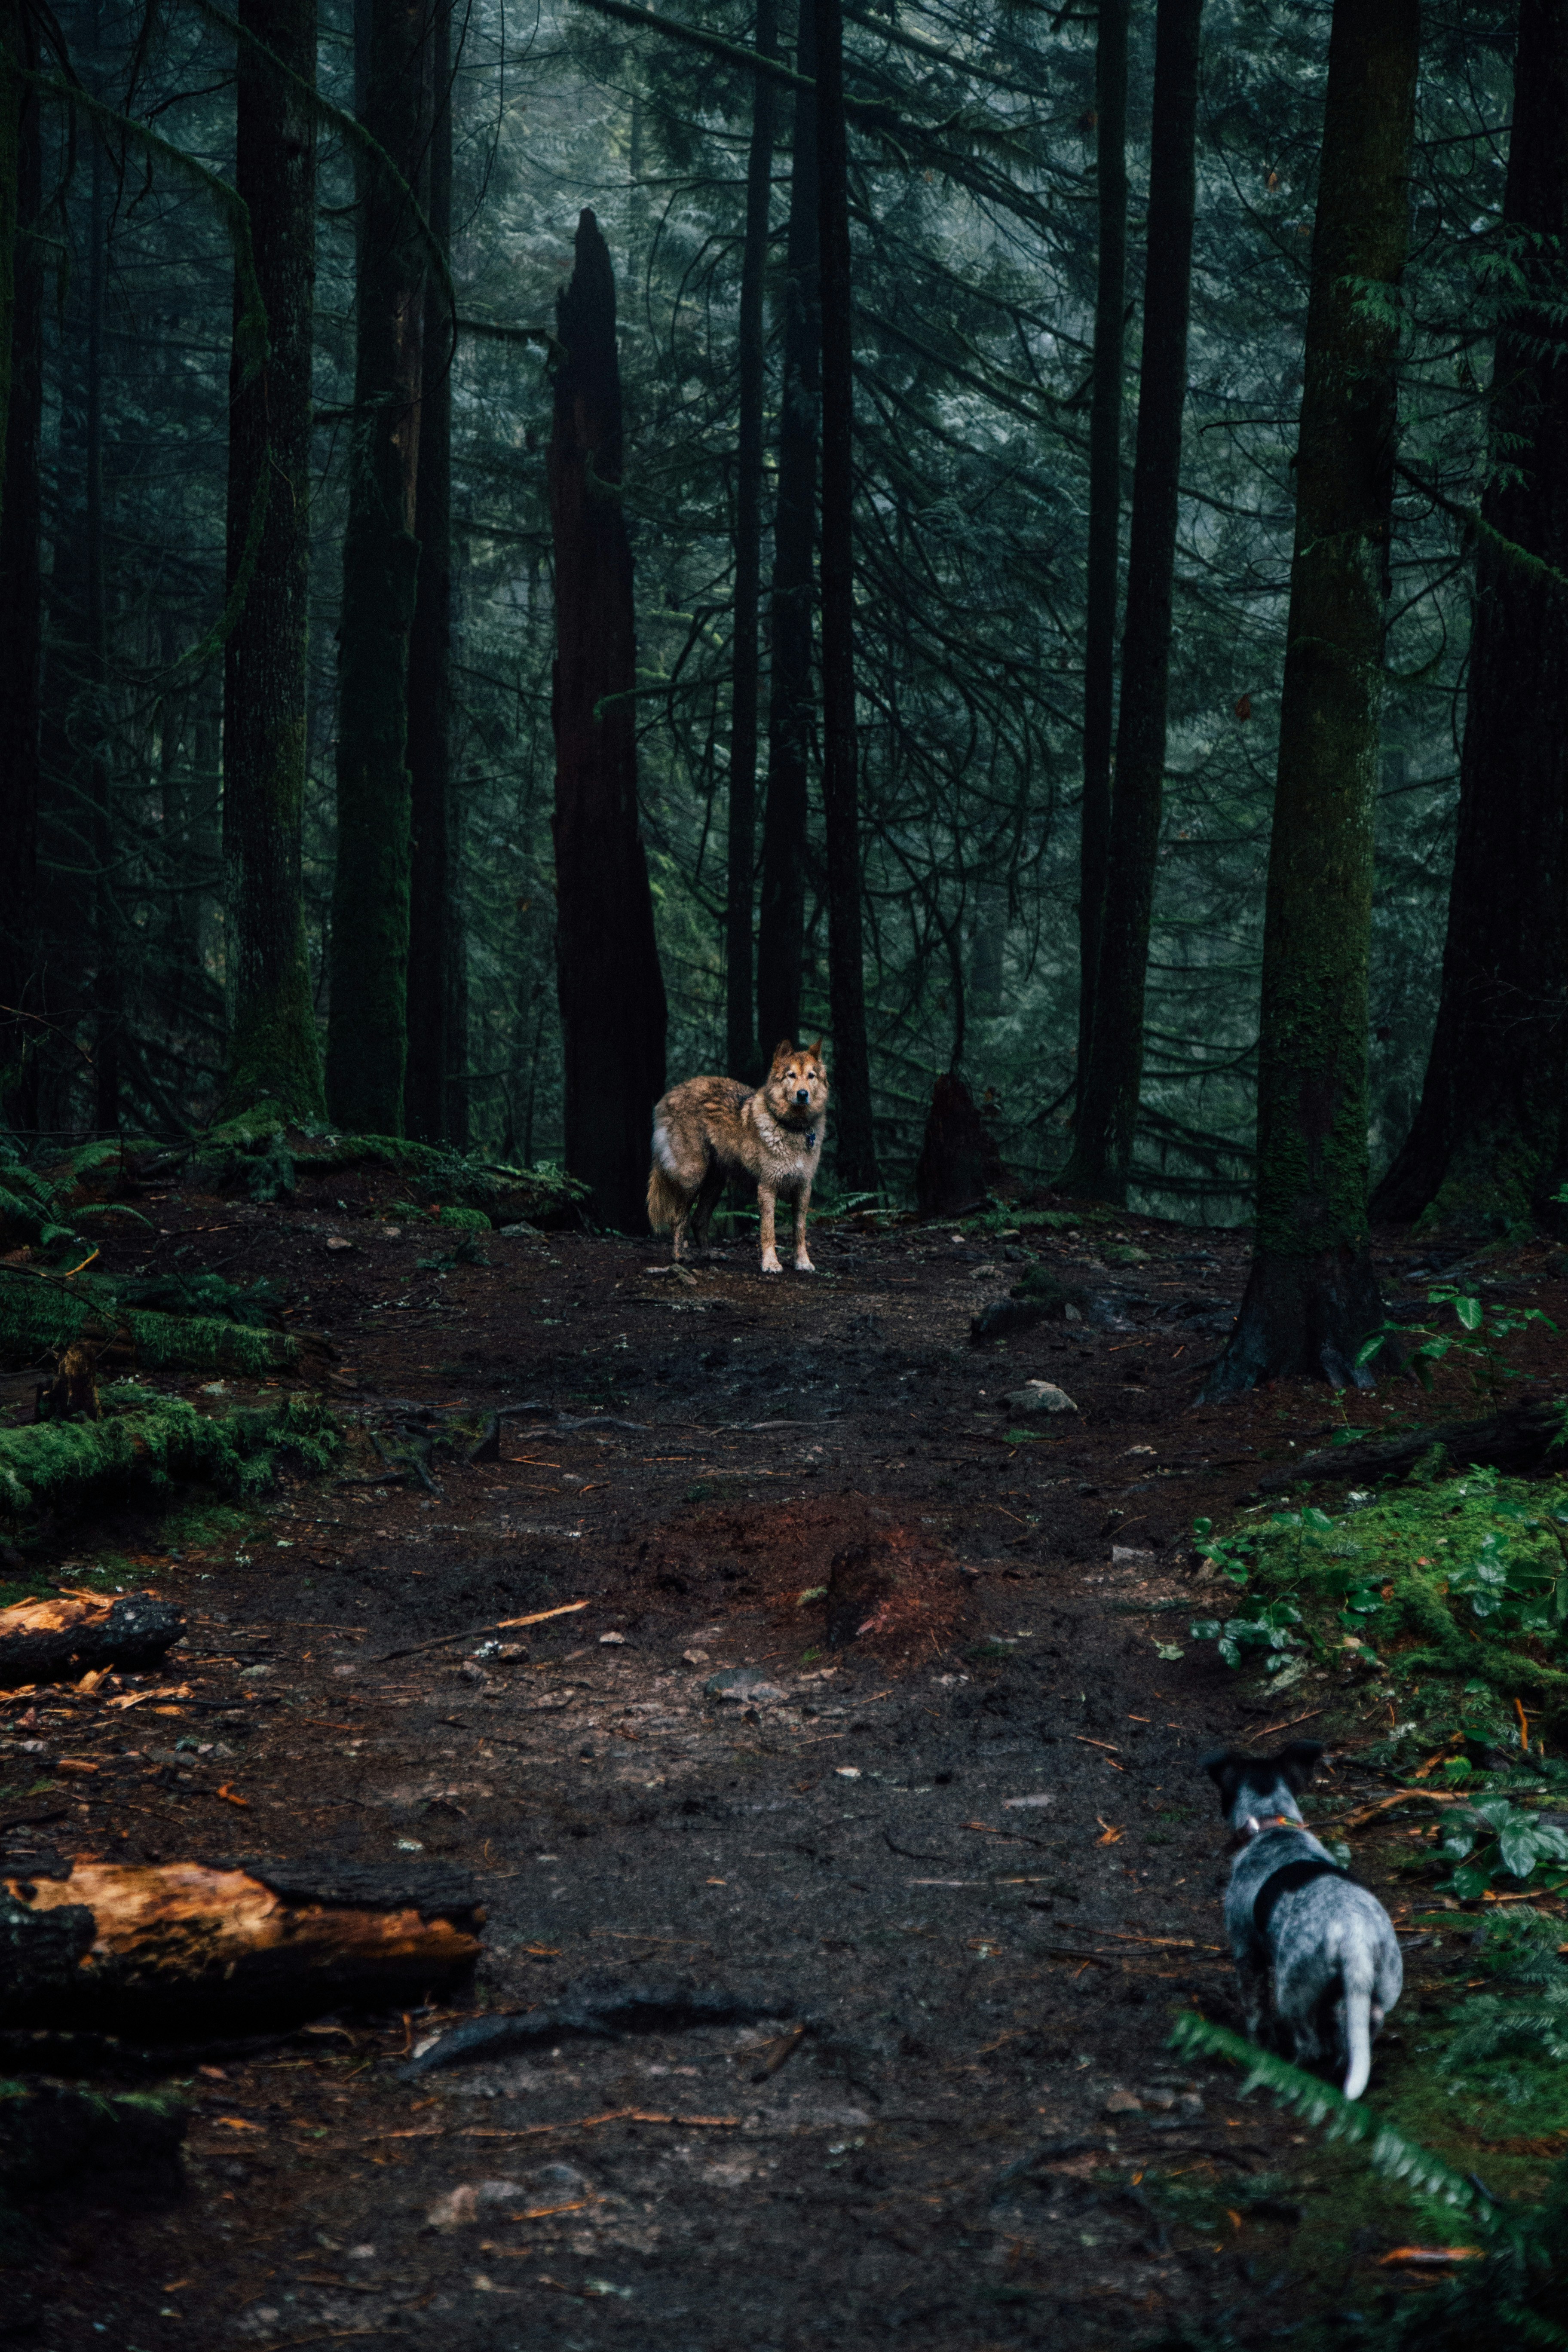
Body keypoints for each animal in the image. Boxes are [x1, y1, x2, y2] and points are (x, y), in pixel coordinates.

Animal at [647, 1039, 829, 1275]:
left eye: (811, 1076)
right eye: (791, 1075)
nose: (803, 1094)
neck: (792, 1128)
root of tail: (669, 1094)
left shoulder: (804, 1189)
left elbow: (800, 1231)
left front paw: (803, 1262)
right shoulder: (767, 1188)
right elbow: (768, 1232)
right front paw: (771, 1264)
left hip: (714, 1186)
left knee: (699, 1220)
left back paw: (710, 1254)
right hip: (692, 1178)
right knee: (679, 1218)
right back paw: (680, 1256)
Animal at [1202, 1740, 1402, 2100]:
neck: (1274, 1826)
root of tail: (1355, 1936)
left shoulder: (1246, 1951)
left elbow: (1255, 2011)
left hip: (1292, 1990)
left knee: (1309, 2044)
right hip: (1380, 1988)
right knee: (1358, 2035)